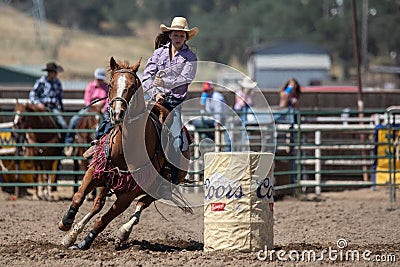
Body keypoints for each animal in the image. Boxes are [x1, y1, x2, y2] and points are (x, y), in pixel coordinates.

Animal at [57, 57, 192, 251]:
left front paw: (86, 241)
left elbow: (104, 220)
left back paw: (123, 232)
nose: (117, 113)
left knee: (141, 204)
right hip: (109, 179)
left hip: (158, 188)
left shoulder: (127, 195)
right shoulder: (96, 171)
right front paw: (66, 223)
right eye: (110, 84)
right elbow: (79, 196)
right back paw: (72, 235)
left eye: (133, 86)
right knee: (98, 205)